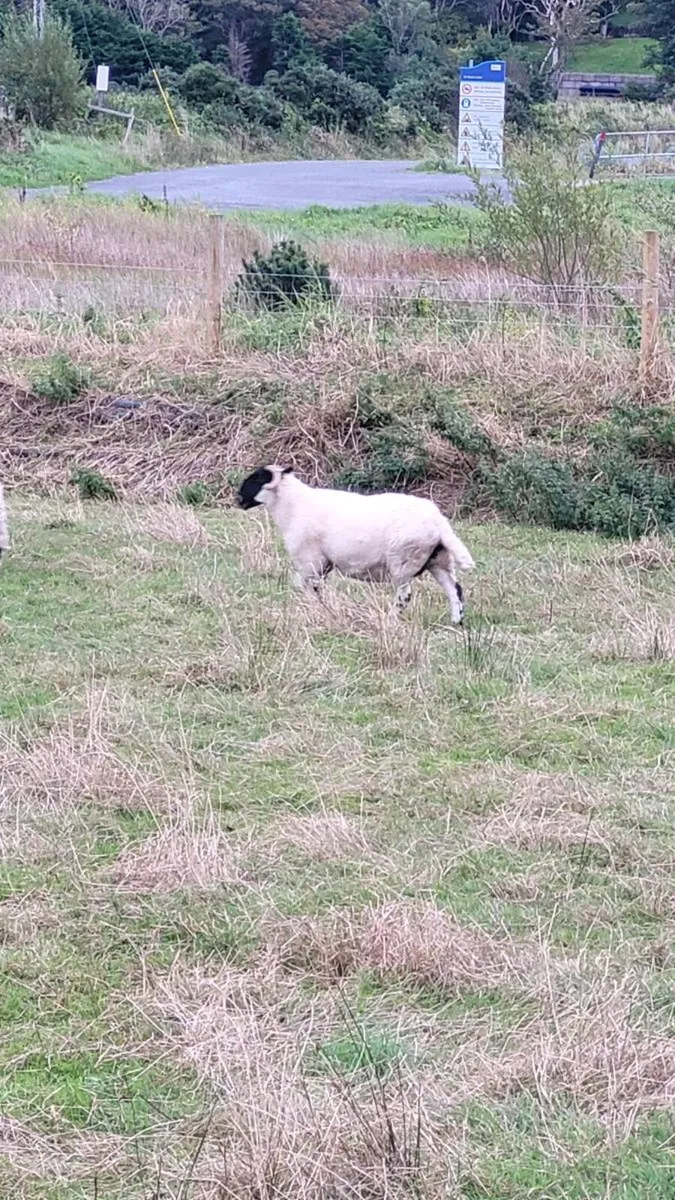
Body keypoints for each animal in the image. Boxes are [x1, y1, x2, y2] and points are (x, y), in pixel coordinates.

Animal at [237, 465, 474, 623]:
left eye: (255, 480)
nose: (238, 500)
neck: (292, 506)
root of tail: (439, 522)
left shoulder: (310, 560)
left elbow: (308, 587)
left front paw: (312, 611)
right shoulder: (321, 563)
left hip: (403, 560)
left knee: (405, 595)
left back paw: (391, 620)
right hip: (438, 559)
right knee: (454, 589)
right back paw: (457, 620)